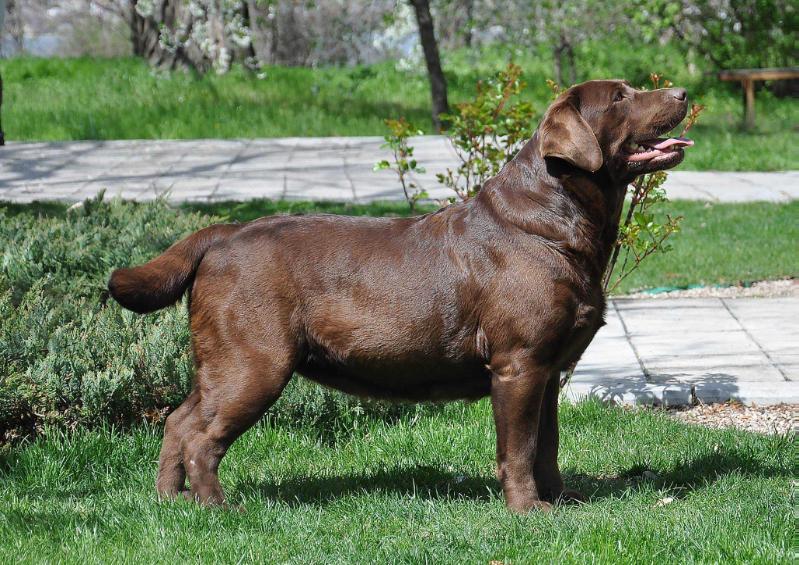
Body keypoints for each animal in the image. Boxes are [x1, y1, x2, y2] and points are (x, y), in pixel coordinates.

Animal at [109, 79, 692, 512]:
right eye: (619, 98)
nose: (683, 93)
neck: (555, 223)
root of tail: (222, 234)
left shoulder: (547, 371)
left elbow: (546, 445)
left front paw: (561, 501)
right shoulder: (519, 364)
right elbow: (520, 448)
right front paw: (527, 511)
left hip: (222, 360)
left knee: (179, 420)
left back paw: (169, 502)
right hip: (254, 361)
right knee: (202, 437)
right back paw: (217, 507)